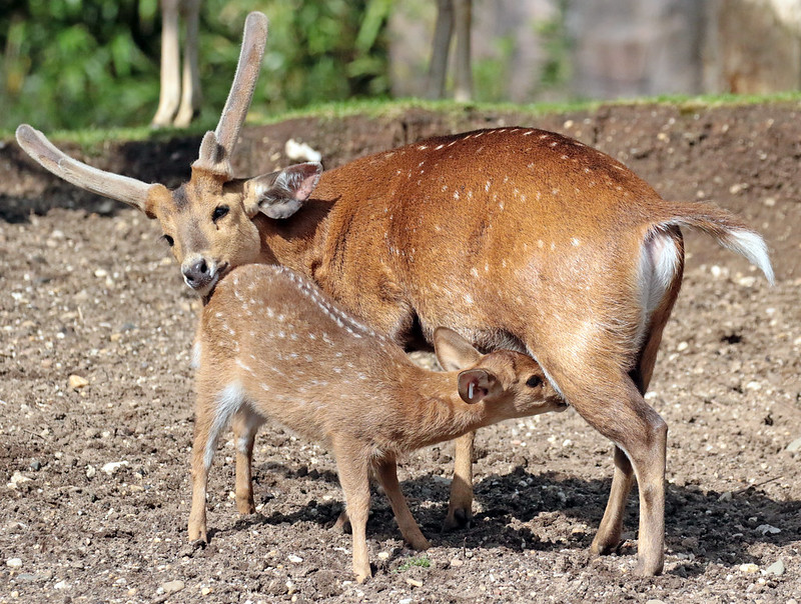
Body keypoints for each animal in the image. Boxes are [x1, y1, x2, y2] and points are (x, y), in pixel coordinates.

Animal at [189, 264, 564, 580]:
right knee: (200, 452)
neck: (404, 399)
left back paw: (246, 507)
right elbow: (360, 503)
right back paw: (197, 534)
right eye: (533, 380)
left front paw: (421, 542)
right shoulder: (346, 435)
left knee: (242, 434)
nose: (562, 396)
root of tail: (223, 285)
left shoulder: (384, 448)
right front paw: (362, 570)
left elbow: (397, 494)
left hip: (257, 397)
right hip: (213, 373)